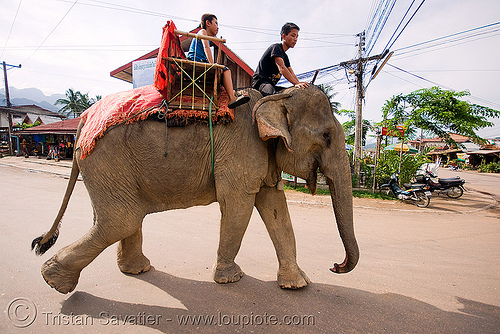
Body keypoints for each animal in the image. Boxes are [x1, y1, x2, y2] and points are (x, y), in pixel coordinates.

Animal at [32, 85, 360, 294]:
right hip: (105, 159)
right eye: (327, 136)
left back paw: (136, 271)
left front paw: (297, 285)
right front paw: (230, 279)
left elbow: (276, 209)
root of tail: (84, 119)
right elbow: (238, 207)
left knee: (126, 218)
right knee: (121, 219)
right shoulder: (241, 152)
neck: (274, 97)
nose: (335, 265)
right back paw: (53, 282)